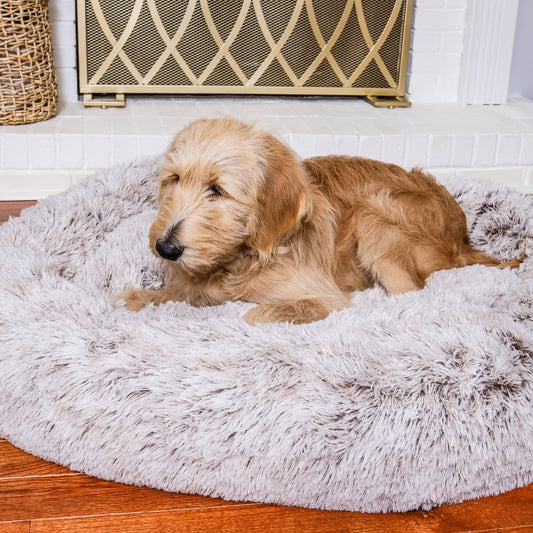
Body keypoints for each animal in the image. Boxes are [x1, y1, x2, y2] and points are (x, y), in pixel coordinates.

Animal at [121, 118, 520, 322]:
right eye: (174, 180)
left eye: (217, 190)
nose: (165, 248)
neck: (241, 258)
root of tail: (464, 240)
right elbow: (170, 294)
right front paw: (141, 297)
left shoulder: (322, 297)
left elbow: (255, 313)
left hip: (374, 220)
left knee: (412, 294)